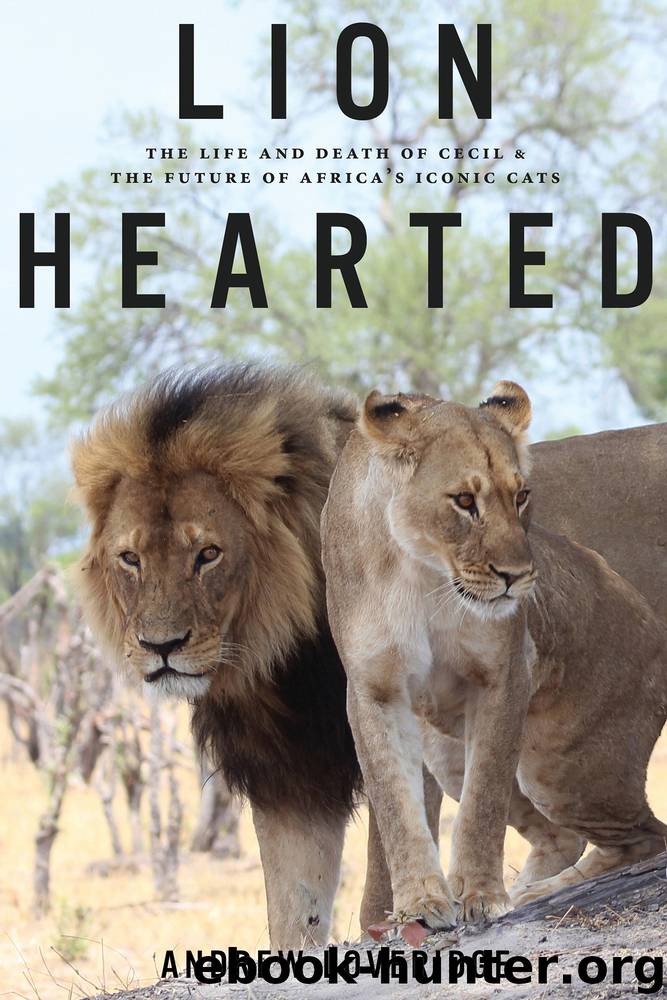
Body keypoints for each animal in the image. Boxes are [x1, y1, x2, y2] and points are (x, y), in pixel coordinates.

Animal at [321, 382, 667, 928]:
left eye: (521, 495)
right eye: (464, 500)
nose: (518, 576)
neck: (423, 574)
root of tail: (652, 621)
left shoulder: (503, 675)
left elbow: (482, 802)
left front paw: (481, 895)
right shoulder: (375, 689)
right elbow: (397, 806)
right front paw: (422, 902)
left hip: (563, 767)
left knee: (647, 836)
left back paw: (536, 893)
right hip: (448, 752)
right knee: (566, 835)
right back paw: (530, 888)